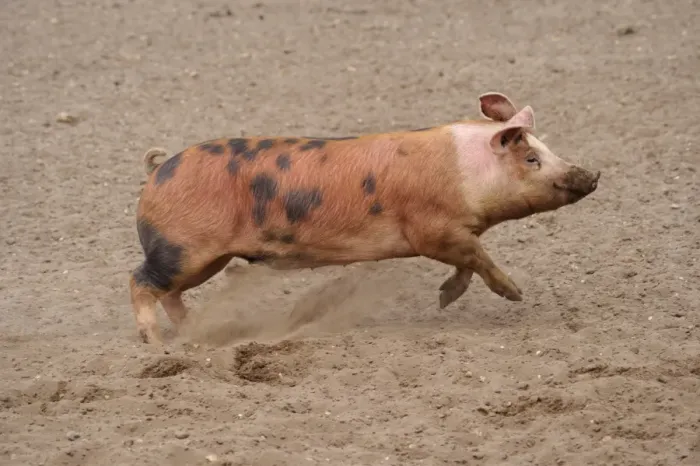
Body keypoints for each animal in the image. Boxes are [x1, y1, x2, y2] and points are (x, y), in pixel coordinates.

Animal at [129, 92, 600, 345]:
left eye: (546, 148)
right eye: (532, 158)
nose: (592, 174)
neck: (465, 173)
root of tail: (157, 171)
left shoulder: (451, 235)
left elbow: (467, 264)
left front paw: (445, 299)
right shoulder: (433, 231)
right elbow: (478, 258)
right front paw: (516, 294)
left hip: (206, 258)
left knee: (170, 293)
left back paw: (192, 332)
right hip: (182, 248)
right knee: (140, 282)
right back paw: (156, 343)